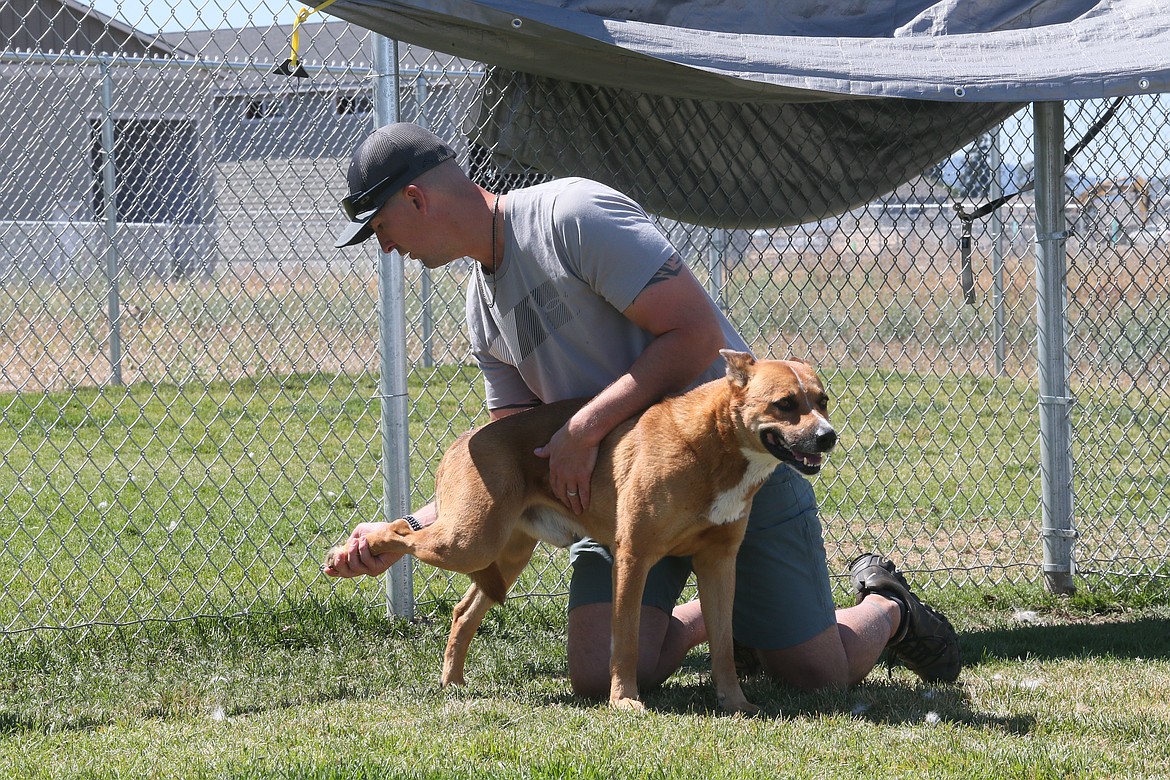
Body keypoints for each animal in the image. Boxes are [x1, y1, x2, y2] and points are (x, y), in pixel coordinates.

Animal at [325, 353, 837, 715]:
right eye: (785, 404)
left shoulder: (719, 565)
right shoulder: (633, 558)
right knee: (398, 530)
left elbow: (724, 645)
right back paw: (354, 554)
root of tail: (464, 440)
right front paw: (624, 700)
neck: (715, 443)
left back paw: (452, 683)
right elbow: (625, 640)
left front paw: (735, 702)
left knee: (462, 611)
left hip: (503, 556)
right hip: (467, 542)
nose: (829, 436)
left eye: (822, 400)